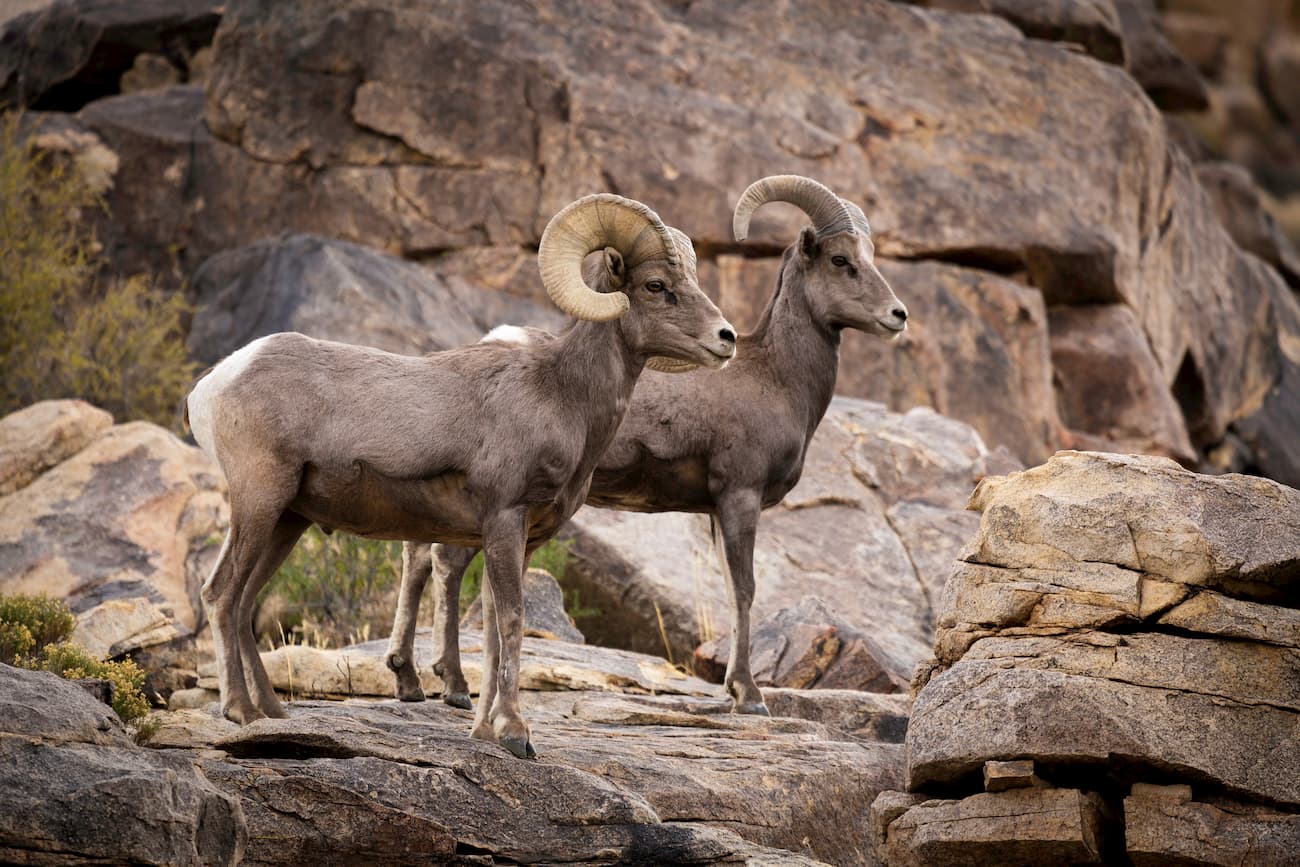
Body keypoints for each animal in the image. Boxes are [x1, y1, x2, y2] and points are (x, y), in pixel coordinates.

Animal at [186, 193, 737, 758]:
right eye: (656, 285)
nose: (726, 338)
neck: (562, 394)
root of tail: (214, 384)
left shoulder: (520, 539)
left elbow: (492, 632)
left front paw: (484, 730)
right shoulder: (505, 520)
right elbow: (512, 622)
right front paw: (516, 735)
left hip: (287, 520)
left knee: (245, 602)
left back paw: (272, 712)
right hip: (259, 502)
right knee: (221, 594)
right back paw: (241, 711)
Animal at [385, 175, 907, 716]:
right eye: (841, 260)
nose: (898, 315)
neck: (778, 377)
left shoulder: (716, 512)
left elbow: (729, 588)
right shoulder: (739, 497)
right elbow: (744, 590)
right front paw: (749, 696)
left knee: (418, 557)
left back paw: (410, 679)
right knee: (446, 564)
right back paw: (453, 686)